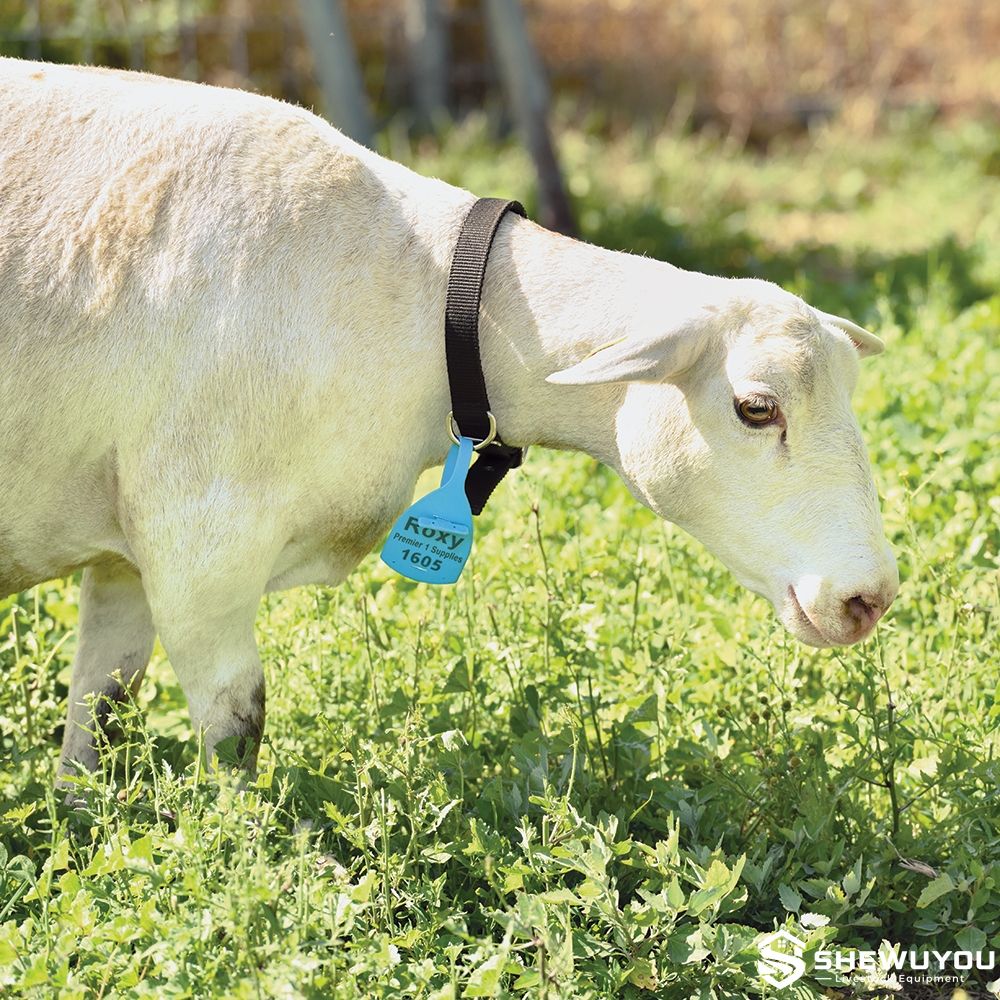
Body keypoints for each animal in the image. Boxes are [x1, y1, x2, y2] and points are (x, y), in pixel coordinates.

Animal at [0, 58, 898, 779]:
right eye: (756, 408)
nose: (870, 600)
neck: (425, 292)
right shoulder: (198, 547)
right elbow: (236, 734)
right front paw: (237, 854)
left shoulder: (125, 558)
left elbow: (97, 722)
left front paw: (82, 827)